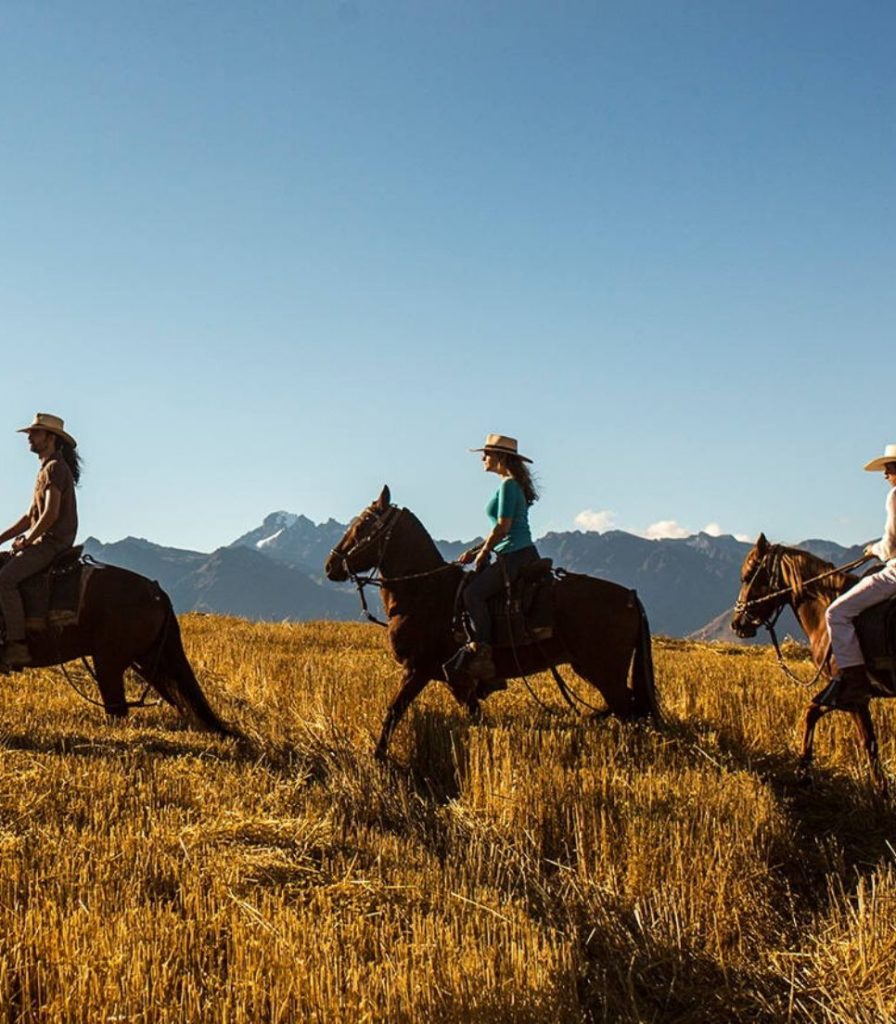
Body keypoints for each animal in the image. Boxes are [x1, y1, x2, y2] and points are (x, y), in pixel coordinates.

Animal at [321, 487, 659, 761]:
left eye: (361, 526)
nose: (330, 564)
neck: (424, 592)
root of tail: (630, 595)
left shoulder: (418, 670)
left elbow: (394, 711)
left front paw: (378, 757)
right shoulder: (460, 682)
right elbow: (475, 717)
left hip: (604, 672)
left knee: (629, 711)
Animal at [733, 536, 884, 790]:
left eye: (748, 575)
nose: (736, 624)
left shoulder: (848, 694)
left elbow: (812, 713)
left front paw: (803, 771)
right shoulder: (854, 699)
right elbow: (868, 741)